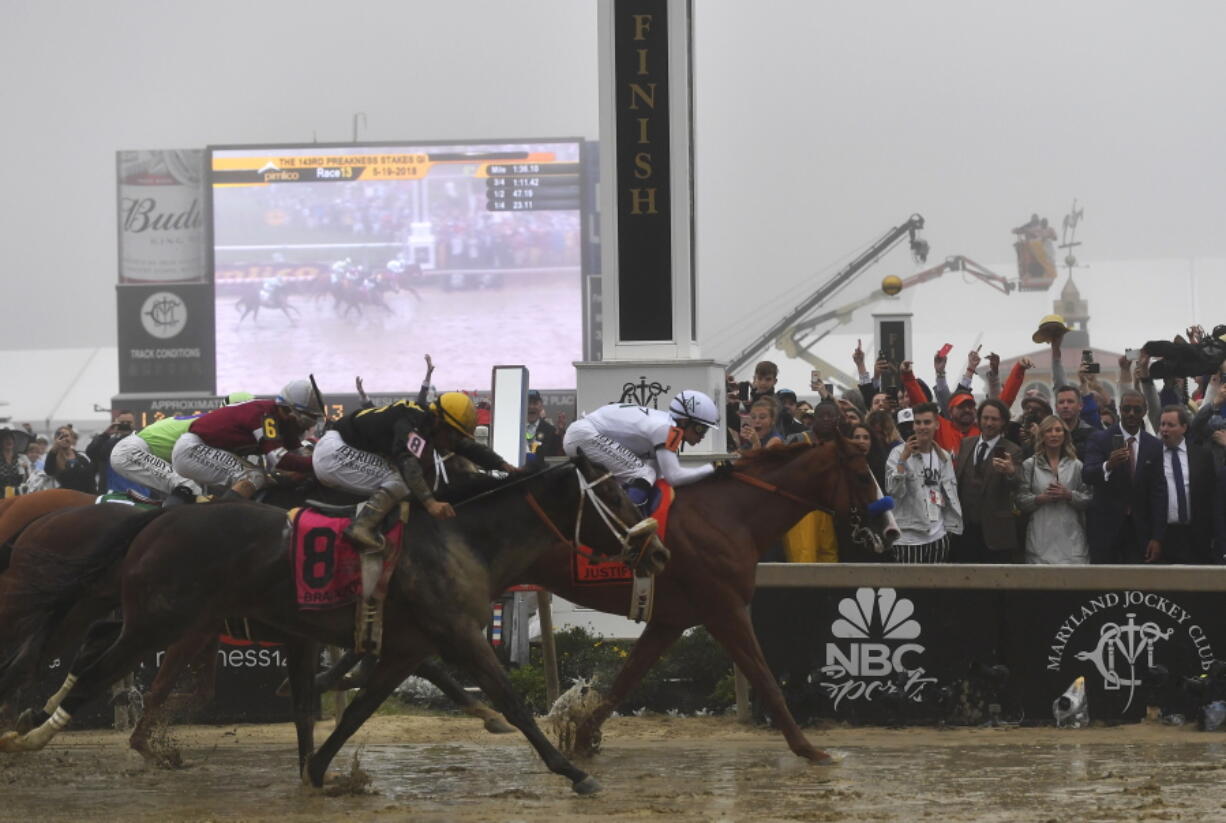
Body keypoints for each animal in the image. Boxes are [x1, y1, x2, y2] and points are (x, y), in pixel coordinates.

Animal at [0, 461, 666, 794]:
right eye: (614, 495)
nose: (657, 552)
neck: (459, 539)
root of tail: (153, 521)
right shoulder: (458, 635)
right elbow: (511, 701)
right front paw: (573, 772)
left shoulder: (404, 647)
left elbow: (353, 711)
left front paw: (318, 770)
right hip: (158, 620)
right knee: (87, 670)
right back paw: (28, 735)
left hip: (143, 617)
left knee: (74, 662)